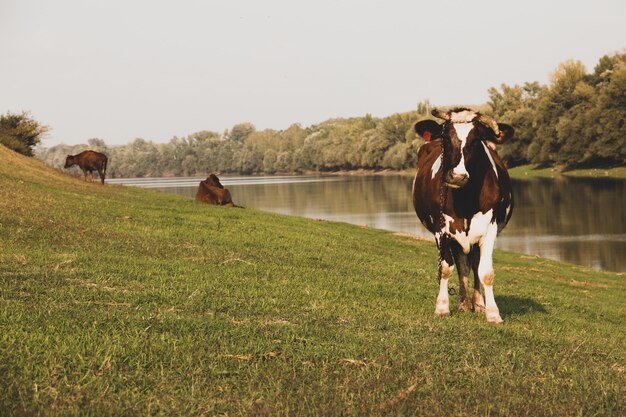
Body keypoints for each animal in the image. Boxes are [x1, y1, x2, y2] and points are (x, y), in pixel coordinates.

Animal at [410, 106, 512, 322]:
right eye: (445, 137)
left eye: (477, 139)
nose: (457, 176)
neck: (465, 200)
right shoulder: (441, 230)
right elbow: (445, 268)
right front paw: (442, 307)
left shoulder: (490, 228)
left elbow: (486, 272)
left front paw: (493, 313)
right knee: (461, 263)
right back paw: (464, 303)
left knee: (472, 263)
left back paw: (478, 304)